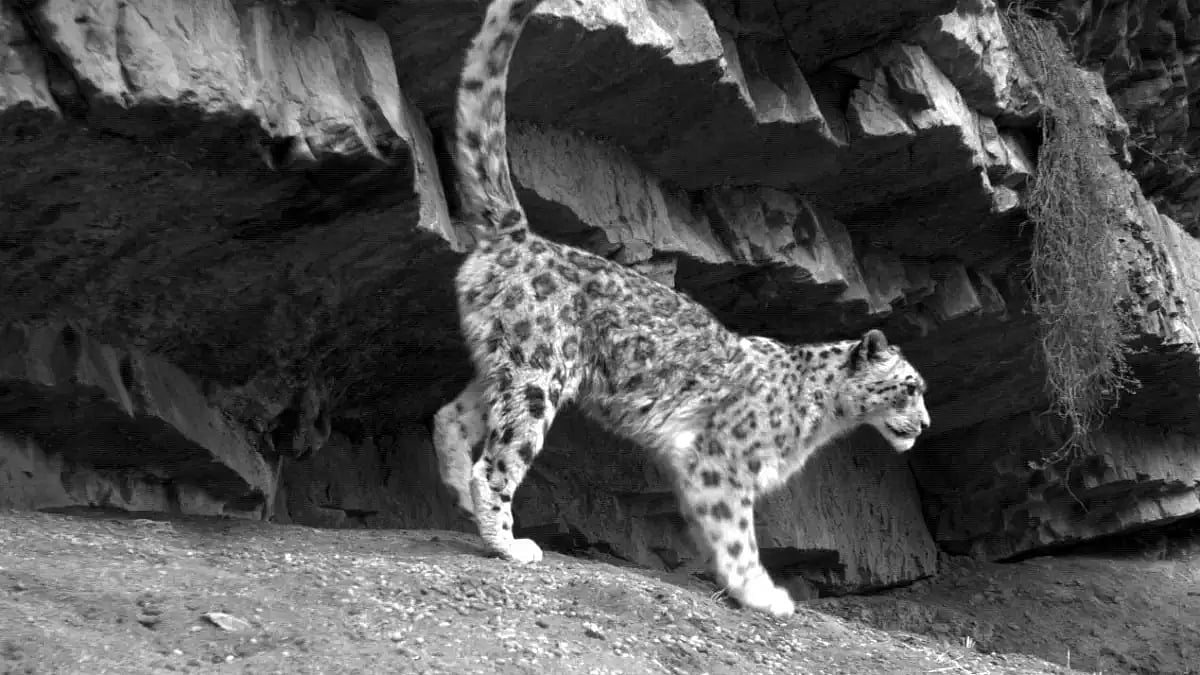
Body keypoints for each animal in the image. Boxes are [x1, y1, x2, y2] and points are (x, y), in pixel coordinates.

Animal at [433, 0, 932, 617]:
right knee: (499, 460)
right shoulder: (722, 461)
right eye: (910, 388)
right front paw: (765, 595)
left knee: (451, 417)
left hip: (505, 367)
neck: (824, 418)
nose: (925, 425)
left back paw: (459, 495)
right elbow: (737, 536)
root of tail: (519, 237)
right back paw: (510, 542)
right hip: (537, 376)